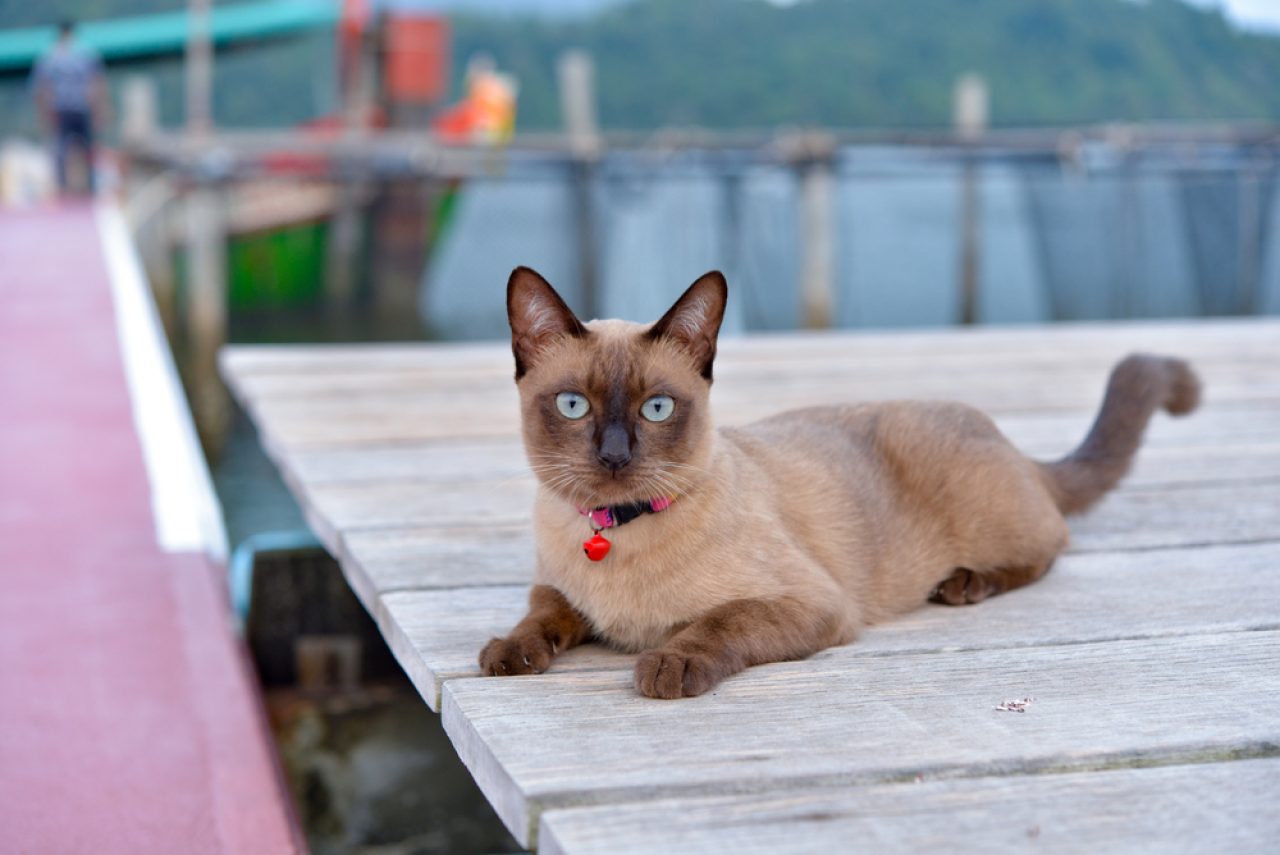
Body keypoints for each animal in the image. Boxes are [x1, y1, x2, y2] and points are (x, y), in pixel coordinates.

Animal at [478, 268, 1198, 701]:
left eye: (656, 409)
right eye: (574, 406)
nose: (614, 456)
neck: (612, 528)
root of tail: (1008, 441)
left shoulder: (811, 603)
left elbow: (717, 621)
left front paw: (665, 665)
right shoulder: (557, 590)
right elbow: (541, 616)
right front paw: (507, 654)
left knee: (1051, 543)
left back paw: (964, 583)